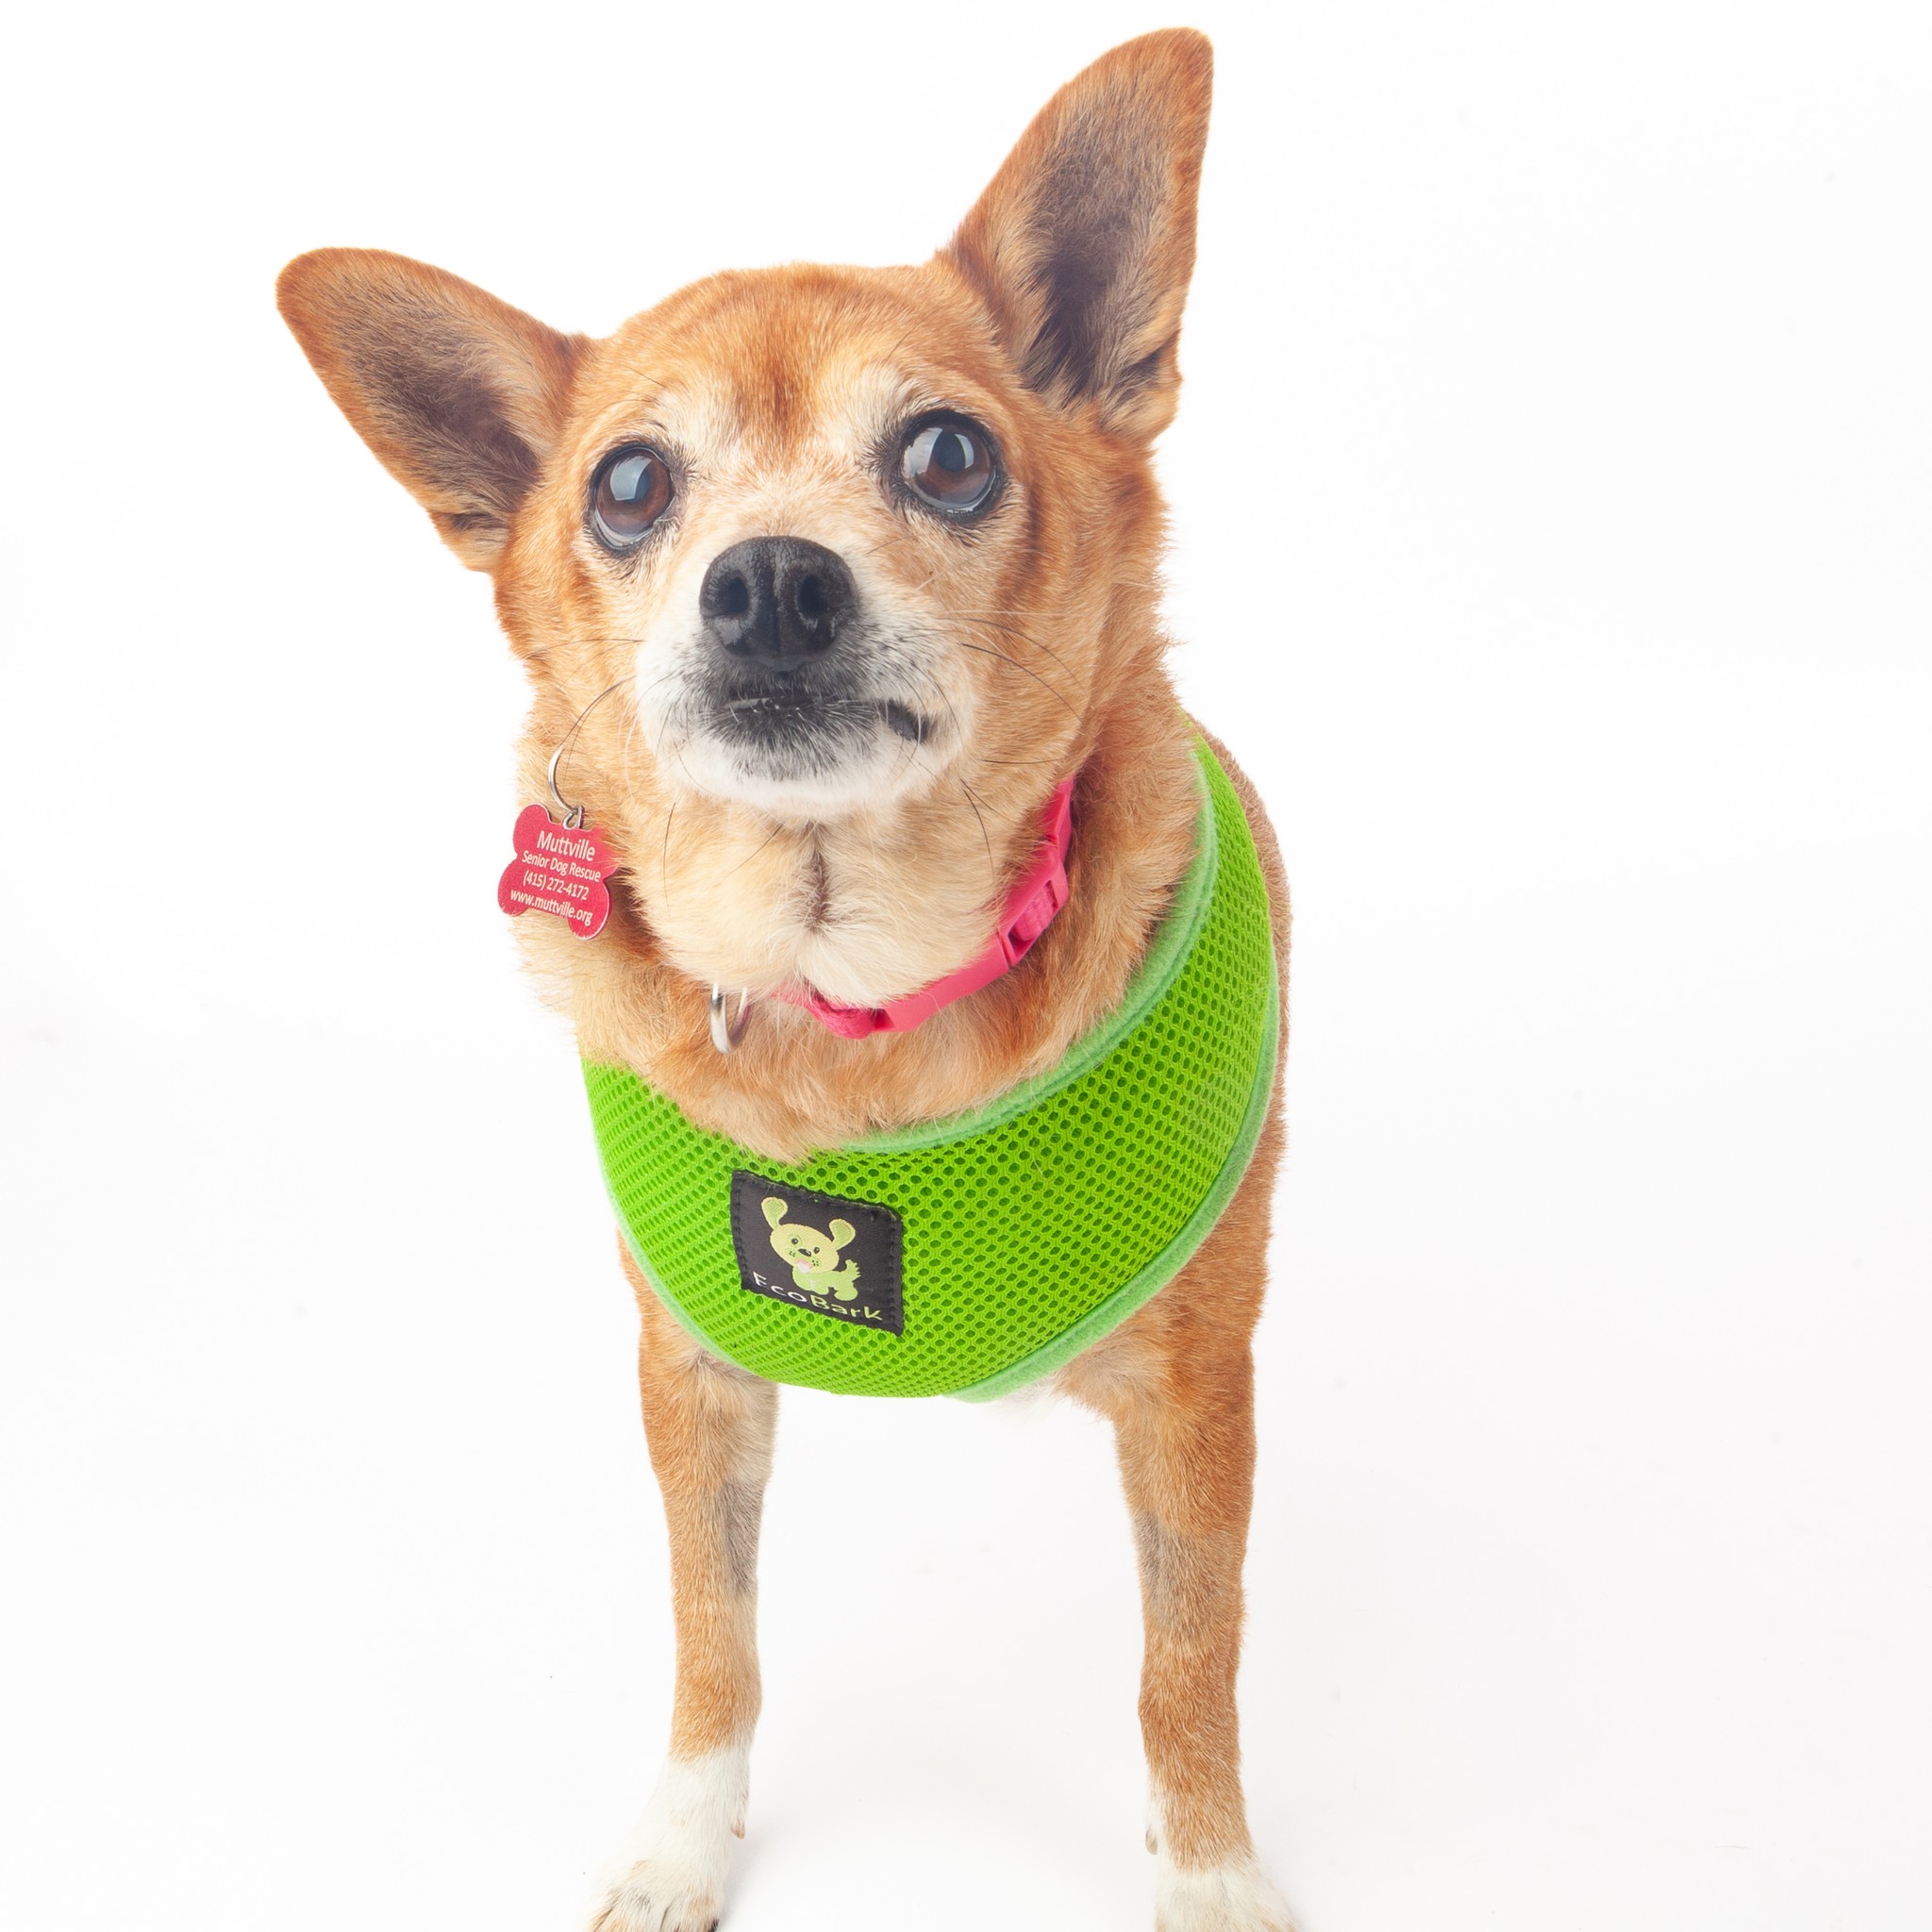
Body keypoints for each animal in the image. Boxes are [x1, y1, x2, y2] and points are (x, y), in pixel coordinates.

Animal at [275, 30, 1298, 1932]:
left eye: (949, 454)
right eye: (628, 487)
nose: (764, 580)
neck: (851, 997)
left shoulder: (1202, 1395)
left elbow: (1186, 1666)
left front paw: (1206, 1876)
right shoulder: (687, 1379)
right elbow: (714, 1637)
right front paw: (683, 1843)